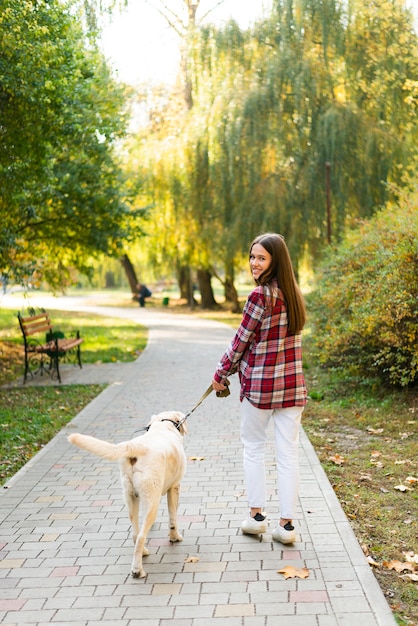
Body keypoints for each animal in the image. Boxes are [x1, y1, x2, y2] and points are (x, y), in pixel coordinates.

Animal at [67, 410, 188, 576]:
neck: (162, 427)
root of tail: (135, 446)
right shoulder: (175, 487)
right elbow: (173, 517)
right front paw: (175, 537)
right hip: (152, 500)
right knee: (141, 535)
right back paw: (137, 570)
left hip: (130, 498)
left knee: (135, 534)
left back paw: (143, 552)